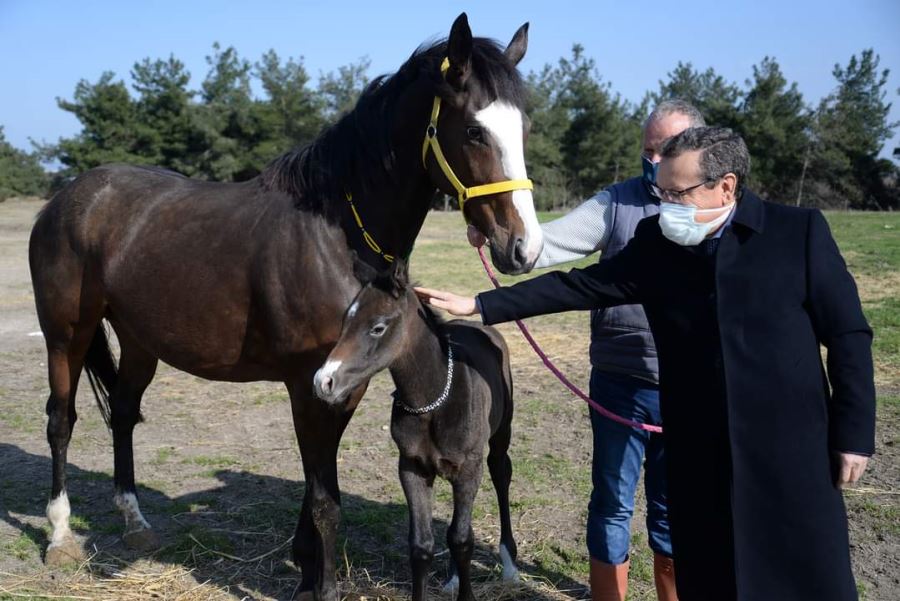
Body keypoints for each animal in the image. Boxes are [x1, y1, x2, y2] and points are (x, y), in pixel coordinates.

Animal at [312, 260, 516, 600]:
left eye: (378, 327)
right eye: (344, 321)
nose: (323, 382)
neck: (433, 400)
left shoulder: (469, 468)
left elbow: (462, 540)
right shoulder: (412, 468)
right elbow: (422, 545)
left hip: (501, 436)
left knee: (501, 475)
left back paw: (510, 564)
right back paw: (453, 577)